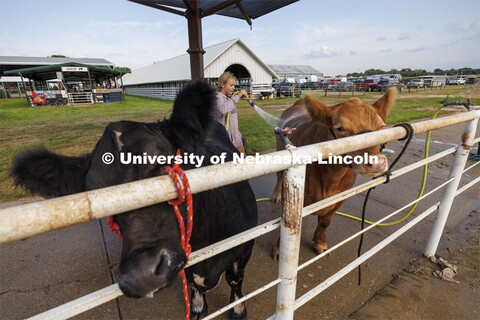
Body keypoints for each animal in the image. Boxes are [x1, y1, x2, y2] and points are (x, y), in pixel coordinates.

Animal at [12, 82, 258, 318]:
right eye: (95, 193)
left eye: (163, 164)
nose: (143, 275)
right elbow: (193, 284)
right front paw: (198, 308)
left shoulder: (246, 245)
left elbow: (235, 279)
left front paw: (238, 308)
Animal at [272, 89, 396, 258]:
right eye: (340, 128)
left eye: (381, 126)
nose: (377, 163)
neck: (330, 178)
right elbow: (287, 227)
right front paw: (280, 250)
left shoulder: (341, 197)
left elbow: (325, 221)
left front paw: (320, 243)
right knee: (279, 177)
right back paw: (276, 195)